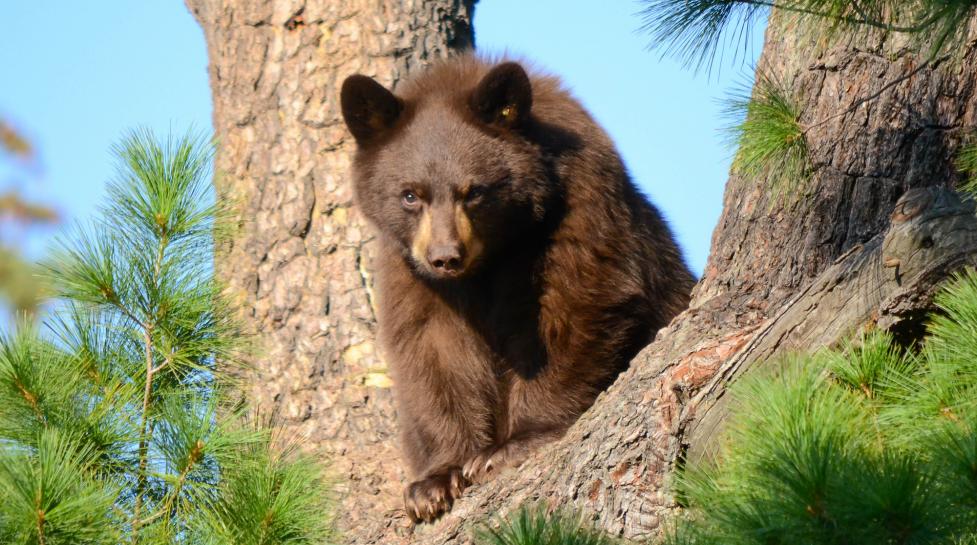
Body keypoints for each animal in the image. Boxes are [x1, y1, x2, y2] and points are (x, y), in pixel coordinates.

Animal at [340, 56, 696, 524]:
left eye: (474, 191)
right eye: (410, 195)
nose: (445, 258)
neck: (495, 255)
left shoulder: (578, 209)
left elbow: (574, 308)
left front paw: (513, 445)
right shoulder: (409, 269)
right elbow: (431, 347)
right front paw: (434, 482)